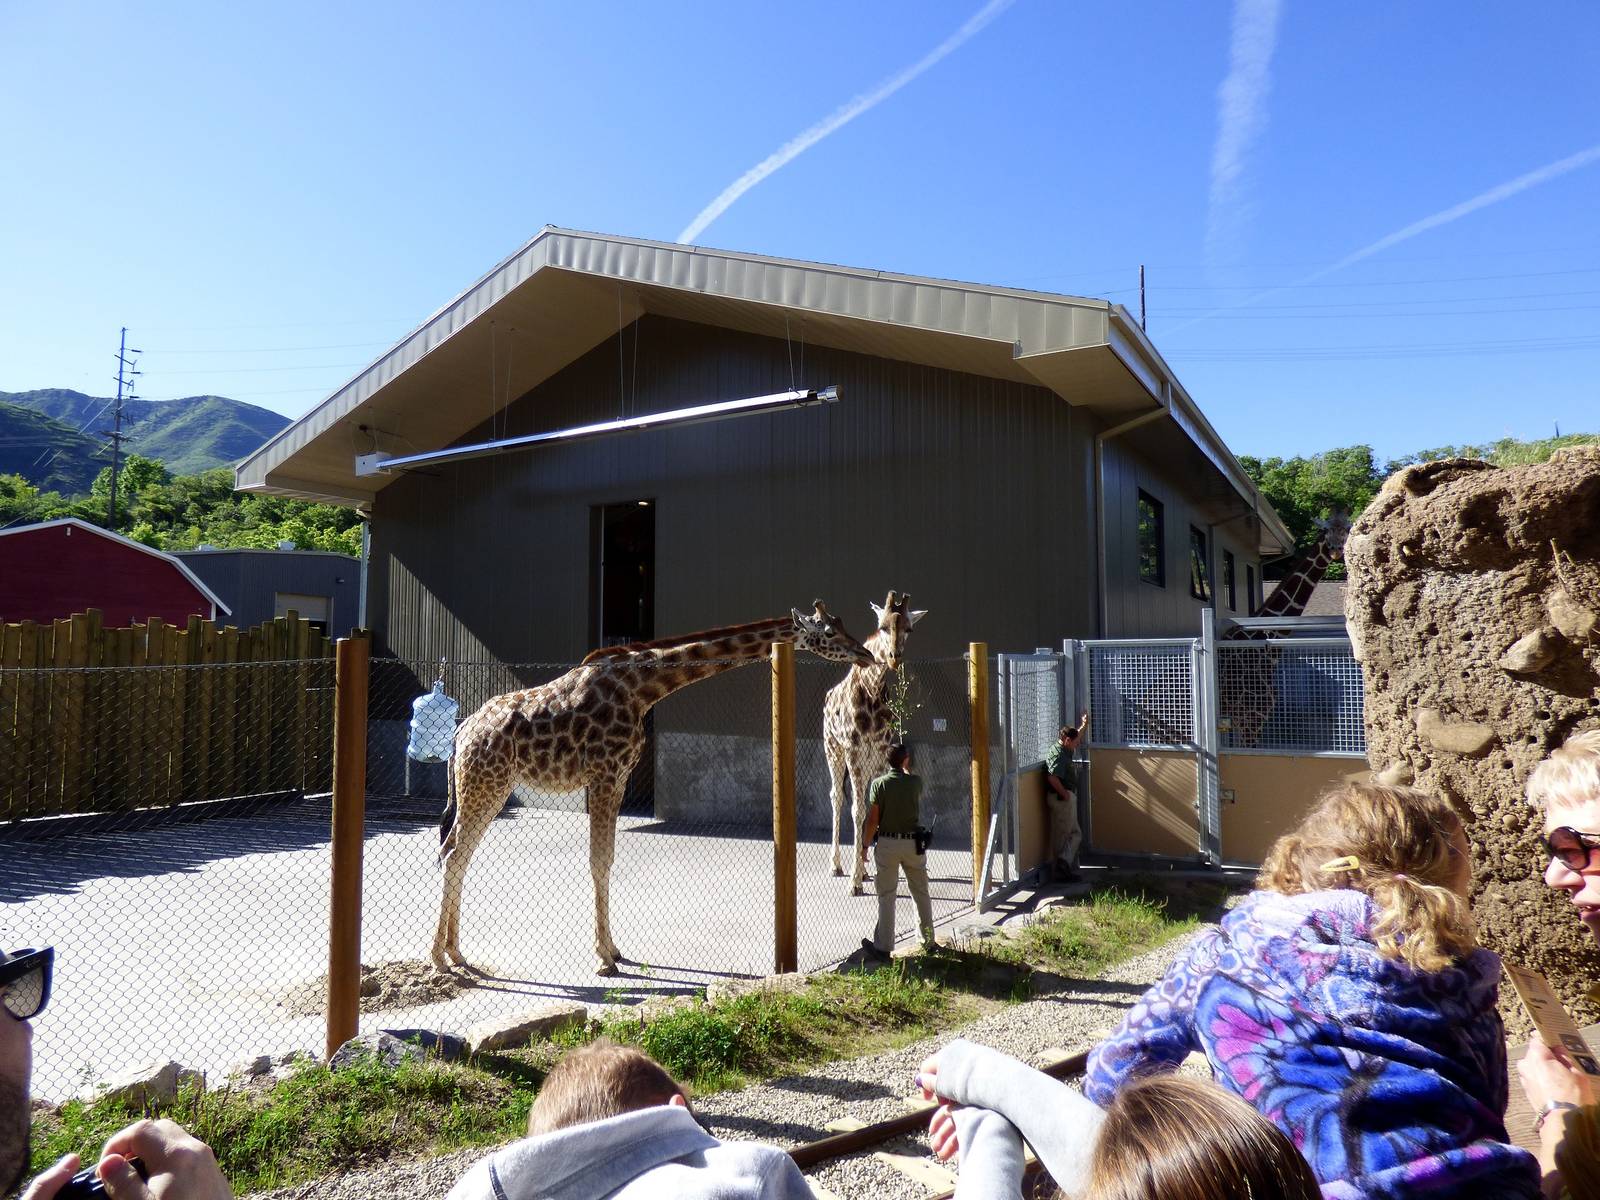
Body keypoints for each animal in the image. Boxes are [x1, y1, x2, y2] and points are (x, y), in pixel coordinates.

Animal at [432, 601, 874, 976]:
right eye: (830, 632)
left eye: (843, 625)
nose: (866, 655)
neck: (642, 688)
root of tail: (460, 732)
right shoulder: (605, 774)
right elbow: (598, 861)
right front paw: (603, 958)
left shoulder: (619, 778)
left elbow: (607, 859)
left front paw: (613, 950)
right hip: (486, 785)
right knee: (454, 854)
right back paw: (440, 957)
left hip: (487, 786)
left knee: (455, 853)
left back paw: (456, 953)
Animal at [823, 591, 929, 895]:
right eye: (882, 626)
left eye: (909, 628)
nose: (894, 657)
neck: (871, 690)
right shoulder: (854, 752)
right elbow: (857, 810)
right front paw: (855, 882)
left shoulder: (881, 755)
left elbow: (873, 810)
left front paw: (865, 871)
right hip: (833, 749)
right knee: (837, 797)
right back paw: (837, 866)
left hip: (865, 763)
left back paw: (864, 867)